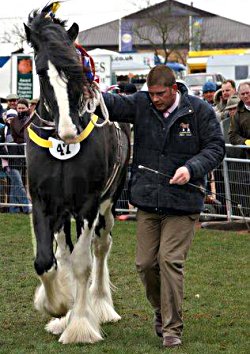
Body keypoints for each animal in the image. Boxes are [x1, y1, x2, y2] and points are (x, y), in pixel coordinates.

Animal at [24, 4, 130, 344]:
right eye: (40, 71)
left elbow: (83, 264)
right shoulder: (43, 202)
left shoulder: (87, 204)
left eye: (75, 70)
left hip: (108, 205)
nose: (68, 132)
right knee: (65, 253)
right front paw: (59, 306)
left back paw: (100, 306)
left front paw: (81, 324)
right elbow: (47, 261)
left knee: (100, 248)